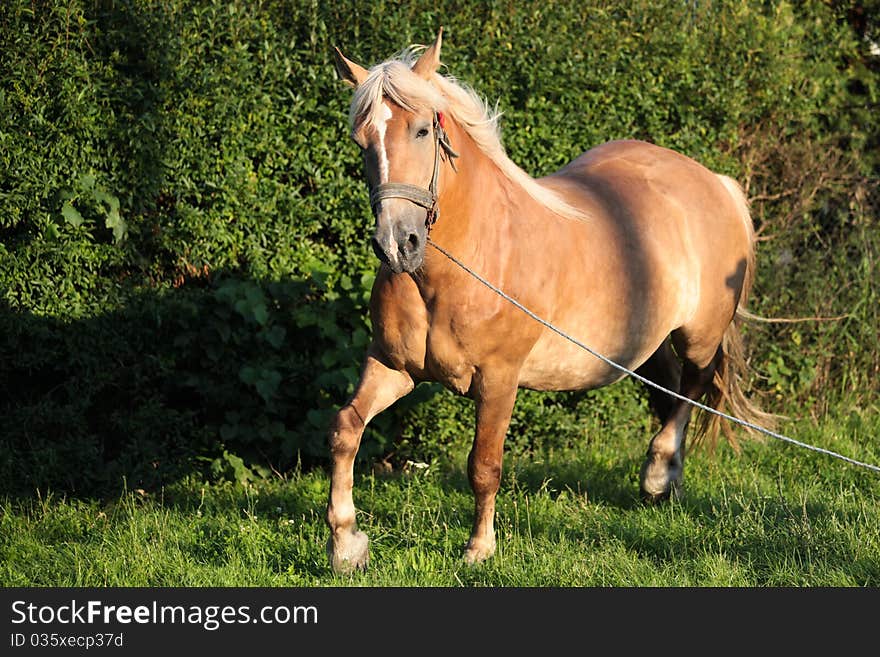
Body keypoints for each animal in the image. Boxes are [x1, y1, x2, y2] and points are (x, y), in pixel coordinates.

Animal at [324, 29, 768, 576]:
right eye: (361, 140)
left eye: (424, 130)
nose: (396, 244)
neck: (466, 264)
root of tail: (716, 184)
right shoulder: (392, 365)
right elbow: (345, 429)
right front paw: (346, 544)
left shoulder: (499, 379)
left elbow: (484, 465)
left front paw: (479, 549)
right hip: (647, 340)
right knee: (668, 388)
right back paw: (663, 480)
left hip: (700, 336)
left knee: (694, 388)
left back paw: (659, 474)